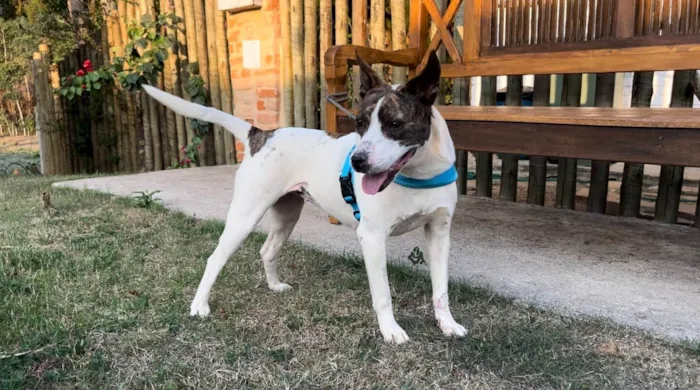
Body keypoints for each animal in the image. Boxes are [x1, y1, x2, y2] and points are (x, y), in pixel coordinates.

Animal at [142, 49, 464, 344]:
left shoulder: (439, 233)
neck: (419, 175)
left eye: (395, 124)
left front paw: (447, 324)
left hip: (287, 215)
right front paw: (391, 331)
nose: (357, 161)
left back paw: (274, 286)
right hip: (245, 216)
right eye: (359, 123)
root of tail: (261, 135)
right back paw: (199, 305)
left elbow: (441, 290)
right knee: (215, 258)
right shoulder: (372, 237)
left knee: (267, 250)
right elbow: (383, 293)